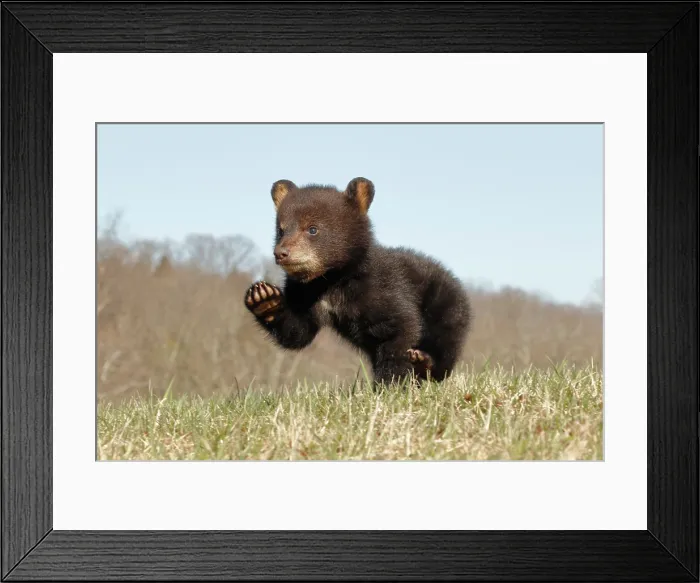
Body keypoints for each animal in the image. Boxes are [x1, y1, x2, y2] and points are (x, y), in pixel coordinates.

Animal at [244, 177, 472, 386]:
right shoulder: (304, 292)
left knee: (445, 344)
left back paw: (424, 362)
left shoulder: (383, 288)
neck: (332, 280)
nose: (281, 253)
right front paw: (264, 297)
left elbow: (401, 326)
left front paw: (390, 385)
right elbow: (298, 331)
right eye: (281, 230)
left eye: (312, 229)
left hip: (446, 308)